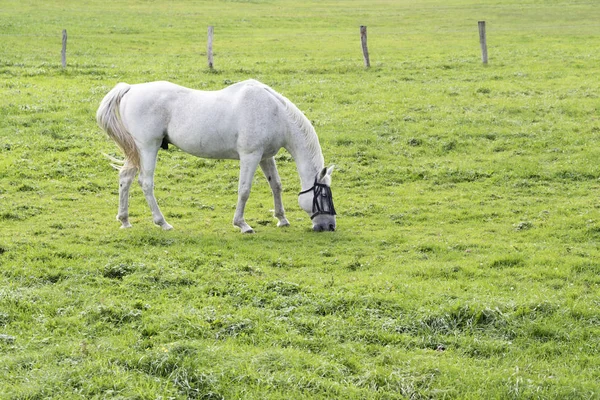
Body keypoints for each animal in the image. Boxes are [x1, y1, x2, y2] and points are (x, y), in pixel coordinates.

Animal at [96, 79, 336, 233]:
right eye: (324, 195)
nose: (329, 226)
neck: (274, 113)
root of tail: (130, 89)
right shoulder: (250, 156)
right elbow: (244, 190)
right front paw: (242, 225)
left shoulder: (265, 156)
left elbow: (276, 185)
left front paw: (282, 219)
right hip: (148, 147)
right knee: (145, 183)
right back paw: (162, 222)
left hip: (136, 151)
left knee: (125, 178)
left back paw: (125, 220)